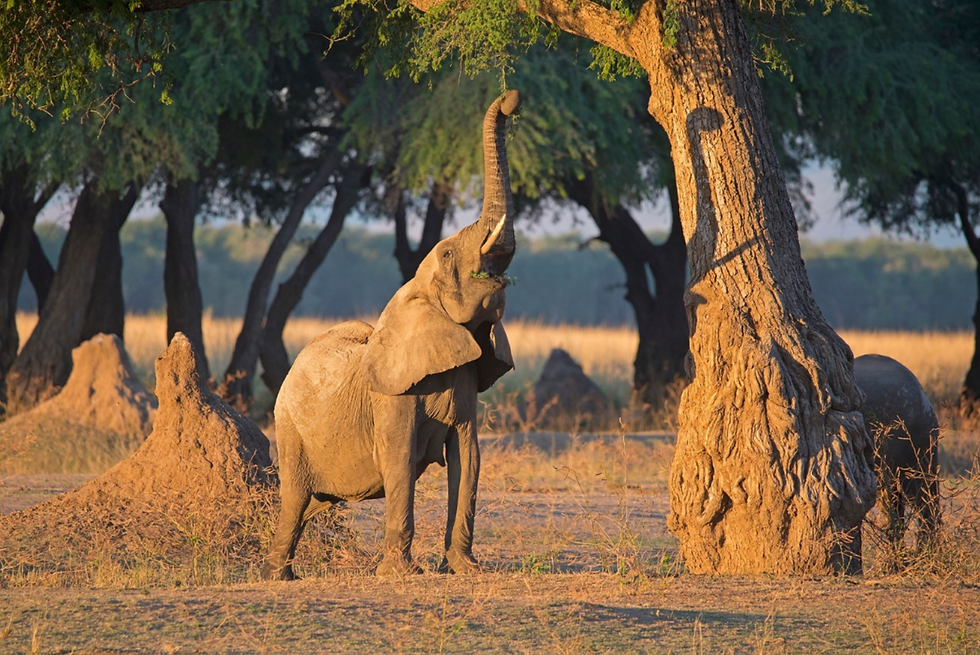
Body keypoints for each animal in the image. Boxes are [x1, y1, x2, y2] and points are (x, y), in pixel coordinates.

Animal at [261, 90, 522, 580]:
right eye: (448, 253)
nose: (510, 100)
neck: (416, 294)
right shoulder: (391, 397)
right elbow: (399, 460)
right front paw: (401, 574)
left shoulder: (464, 382)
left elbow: (469, 457)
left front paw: (465, 570)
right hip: (289, 430)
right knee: (294, 498)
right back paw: (278, 576)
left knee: (311, 506)